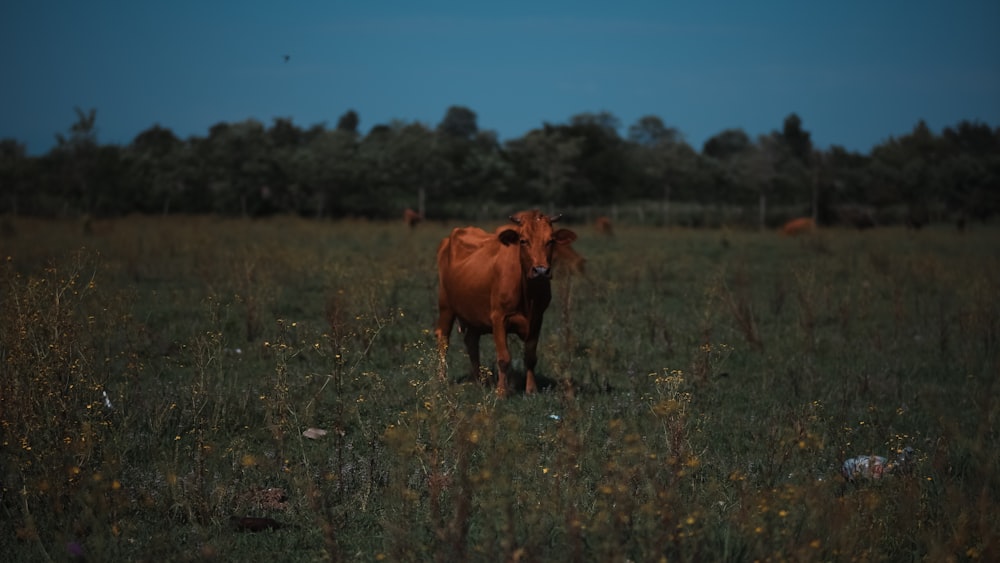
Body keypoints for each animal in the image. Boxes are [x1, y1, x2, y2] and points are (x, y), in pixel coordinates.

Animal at [436, 208, 580, 396]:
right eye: (523, 241)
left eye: (550, 241)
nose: (541, 270)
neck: (527, 295)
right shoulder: (498, 317)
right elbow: (504, 357)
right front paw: (501, 392)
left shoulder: (537, 319)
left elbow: (530, 357)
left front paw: (531, 389)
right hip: (445, 306)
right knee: (443, 340)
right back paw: (442, 379)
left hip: (473, 313)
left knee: (471, 342)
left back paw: (478, 381)